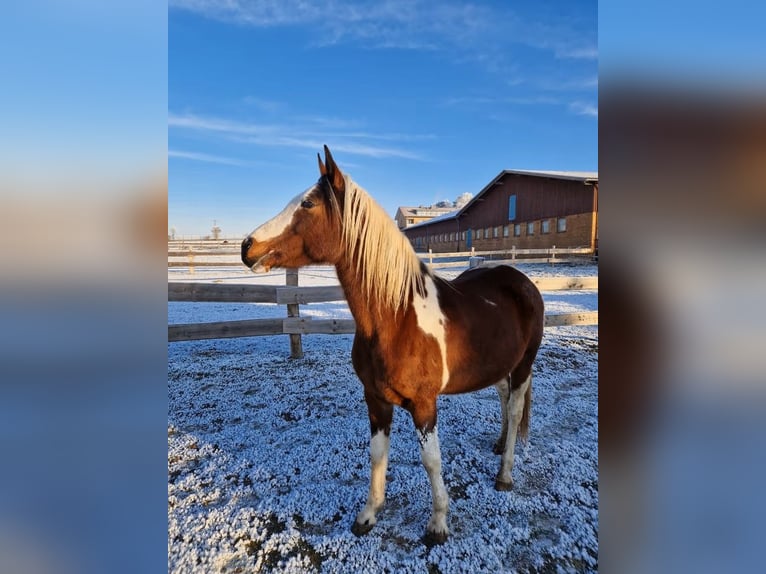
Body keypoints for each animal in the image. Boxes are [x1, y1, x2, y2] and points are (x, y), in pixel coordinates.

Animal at [240, 146, 544, 548]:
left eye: (307, 203)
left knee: (515, 406)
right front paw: (368, 515)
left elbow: (431, 461)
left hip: (524, 364)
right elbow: (377, 455)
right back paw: (498, 444)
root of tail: (520, 280)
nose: (246, 246)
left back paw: (505, 474)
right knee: (504, 398)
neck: (396, 317)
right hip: (499, 364)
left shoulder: (424, 405)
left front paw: (438, 524)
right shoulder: (375, 399)